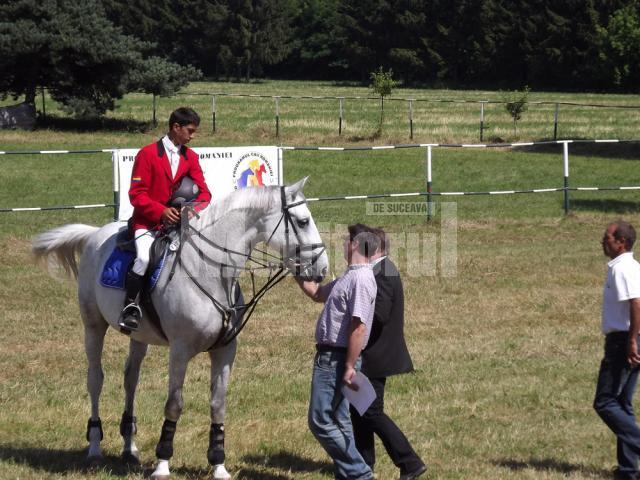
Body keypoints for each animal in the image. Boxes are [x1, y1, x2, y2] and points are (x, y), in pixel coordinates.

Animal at [32, 180, 328, 480]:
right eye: (303, 222)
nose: (322, 268)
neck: (212, 272)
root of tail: (96, 234)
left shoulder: (225, 351)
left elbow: (218, 405)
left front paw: (218, 464)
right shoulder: (180, 350)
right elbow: (174, 404)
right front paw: (162, 463)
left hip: (139, 337)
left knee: (131, 379)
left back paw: (130, 446)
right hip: (93, 325)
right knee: (95, 379)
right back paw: (94, 447)